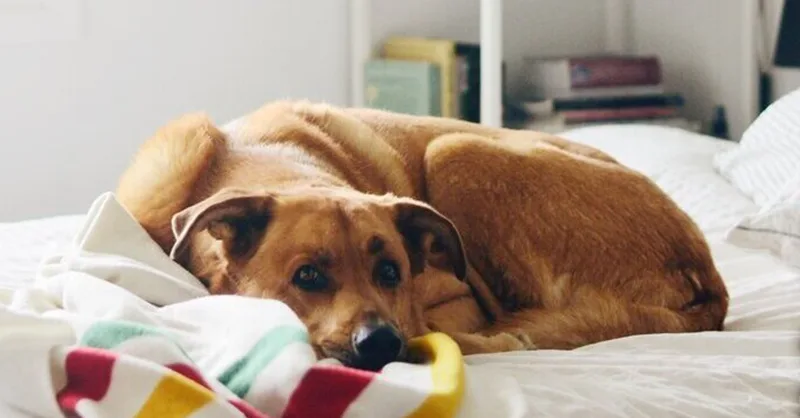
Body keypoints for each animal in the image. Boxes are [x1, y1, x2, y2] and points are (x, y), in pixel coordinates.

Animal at [115, 100, 728, 370]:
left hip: (456, 149)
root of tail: (707, 275)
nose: (381, 343)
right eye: (307, 276)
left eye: (393, 272)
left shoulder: (456, 299)